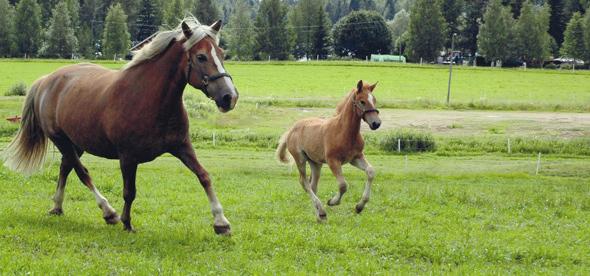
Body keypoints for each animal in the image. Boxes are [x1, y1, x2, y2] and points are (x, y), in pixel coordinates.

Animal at [2, 17, 238, 234]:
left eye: (222, 53)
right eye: (201, 57)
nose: (229, 97)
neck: (150, 100)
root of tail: (46, 80)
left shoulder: (182, 146)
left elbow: (204, 176)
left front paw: (221, 222)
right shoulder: (127, 157)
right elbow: (129, 192)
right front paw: (126, 223)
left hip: (76, 143)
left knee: (65, 168)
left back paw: (57, 207)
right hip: (61, 140)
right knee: (81, 172)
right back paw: (108, 212)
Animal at [278, 80, 384, 220]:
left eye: (374, 100)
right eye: (362, 101)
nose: (376, 123)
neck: (344, 132)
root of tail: (292, 129)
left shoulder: (356, 158)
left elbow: (371, 172)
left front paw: (359, 206)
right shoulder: (333, 161)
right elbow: (343, 185)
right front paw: (332, 202)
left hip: (315, 163)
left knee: (313, 185)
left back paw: (319, 215)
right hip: (300, 159)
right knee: (304, 182)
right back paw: (322, 211)